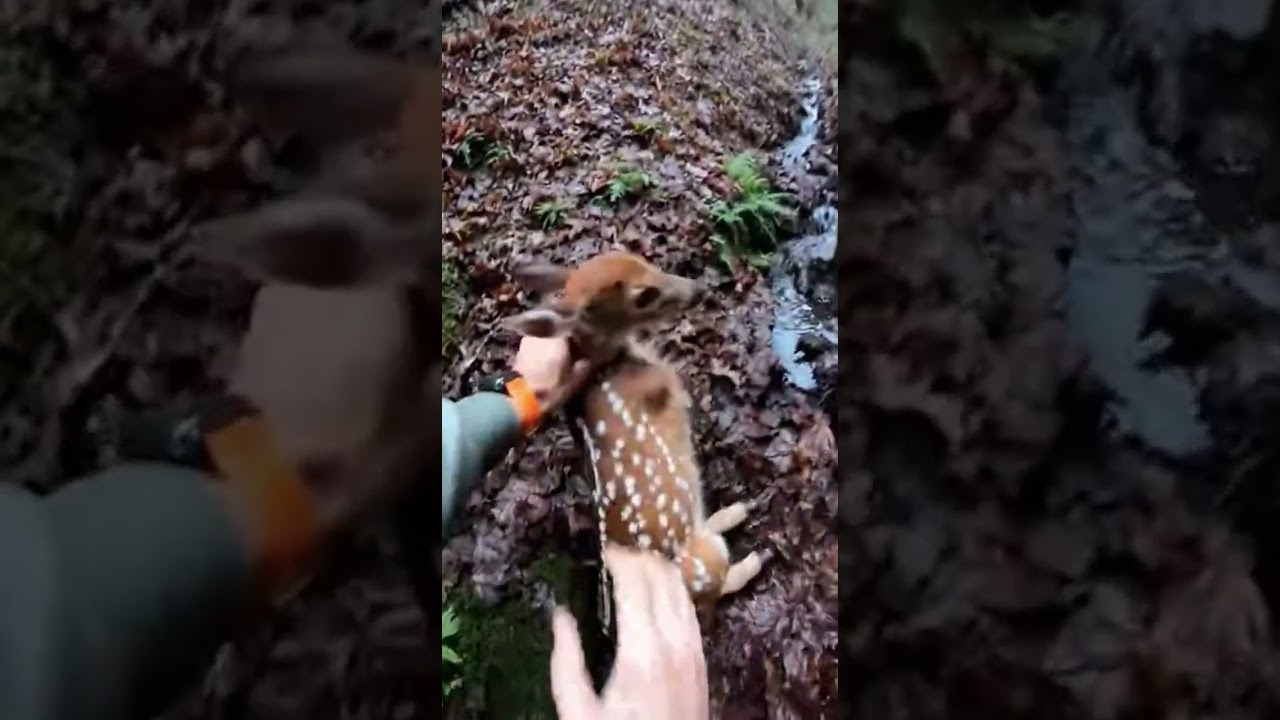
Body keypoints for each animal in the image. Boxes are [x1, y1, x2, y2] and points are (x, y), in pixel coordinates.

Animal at [503, 251, 771, 624]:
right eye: (644, 295)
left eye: (642, 260)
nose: (698, 289)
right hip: (703, 562)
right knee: (717, 582)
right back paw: (755, 551)